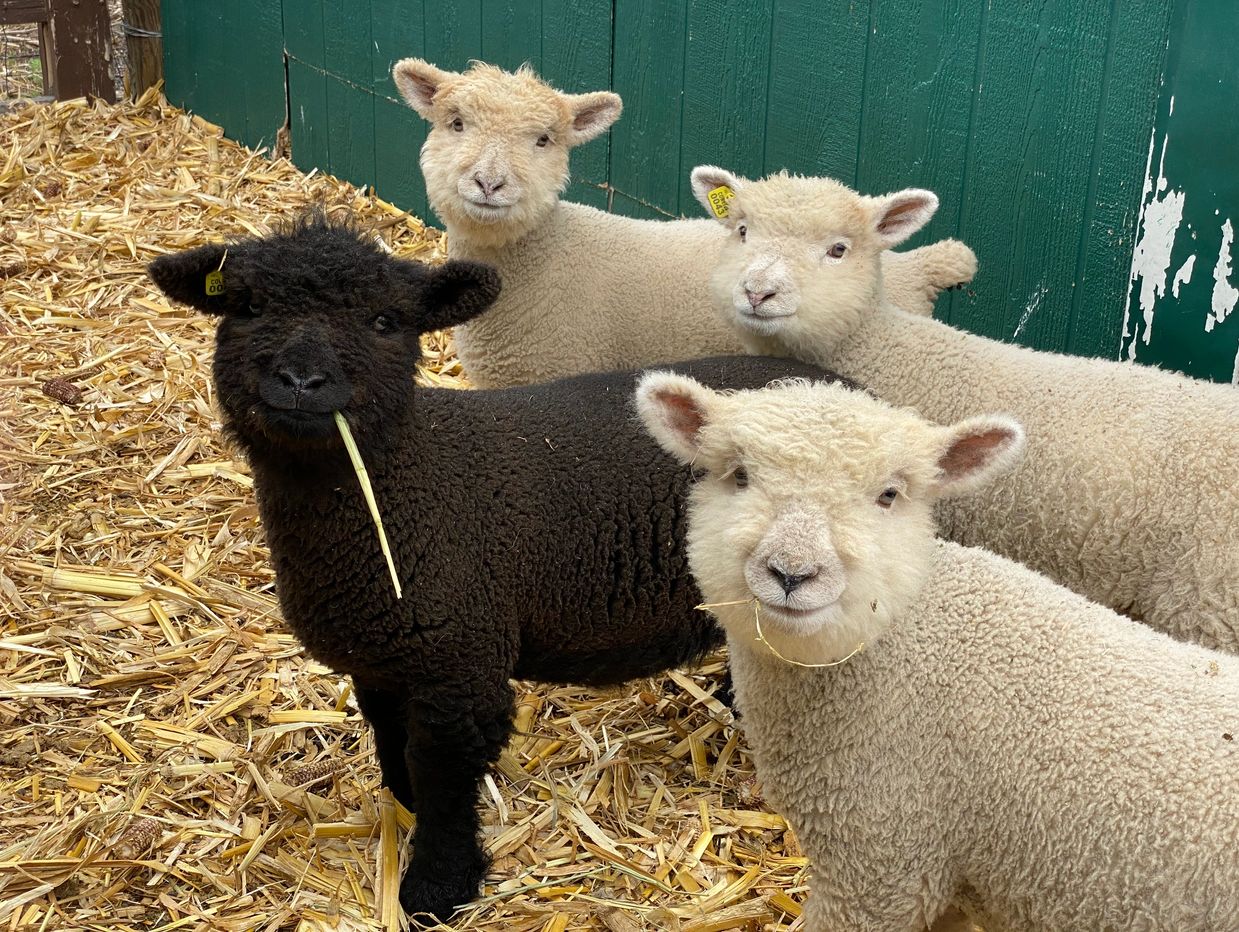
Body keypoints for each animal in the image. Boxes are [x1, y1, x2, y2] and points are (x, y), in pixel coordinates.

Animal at [146, 215, 836, 922]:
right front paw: (403, 811)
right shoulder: (385, 659)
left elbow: (445, 781)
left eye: (385, 320)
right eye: (246, 307)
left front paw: (436, 888)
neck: (407, 488)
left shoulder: (460, 667)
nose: (301, 382)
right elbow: (395, 746)